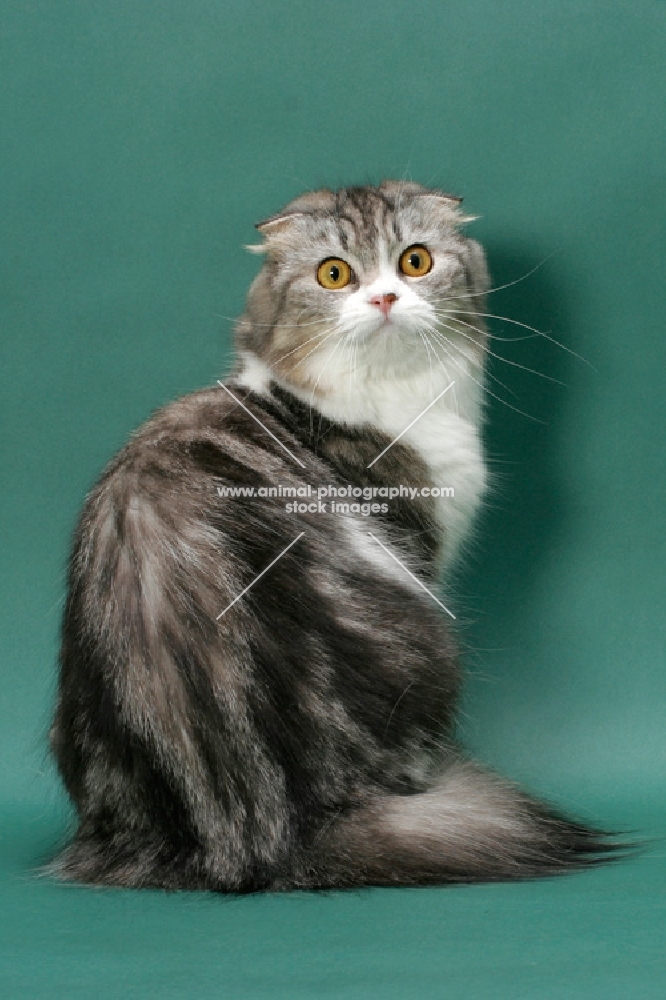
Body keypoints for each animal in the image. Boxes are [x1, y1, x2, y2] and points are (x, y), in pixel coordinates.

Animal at [49, 182, 616, 892]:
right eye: (335, 274)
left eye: (415, 261)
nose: (384, 299)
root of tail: (256, 836)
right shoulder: (417, 543)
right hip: (427, 638)